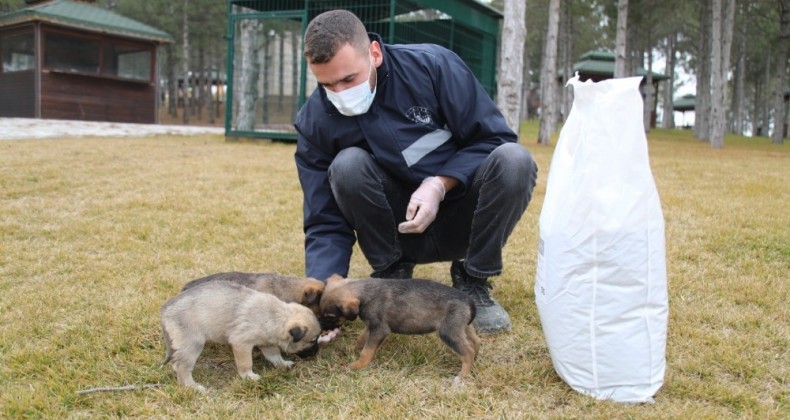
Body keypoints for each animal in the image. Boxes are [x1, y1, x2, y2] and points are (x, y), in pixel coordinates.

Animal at [161, 280, 322, 392]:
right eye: (312, 340)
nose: (316, 352)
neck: (276, 316)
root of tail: (166, 310)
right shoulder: (241, 343)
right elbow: (246, 363)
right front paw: (249, 377)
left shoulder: (267, 343)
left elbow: (274, 355)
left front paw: (282, 363)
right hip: (193, 344)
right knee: (181, 366)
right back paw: (192, 386)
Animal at [318, 274, 480, 382]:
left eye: (330, 316)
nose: (321, 328)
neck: (365, 292)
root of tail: (469, 300)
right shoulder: (372, 326)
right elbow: (361, 339)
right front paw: (352, 350)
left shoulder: (379, 329)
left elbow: (366, 351)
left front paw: (357, 365)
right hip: (463, 327)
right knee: (475, 341)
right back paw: (475, 359)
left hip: (448, 332)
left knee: (467, 352)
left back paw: (461, 376)